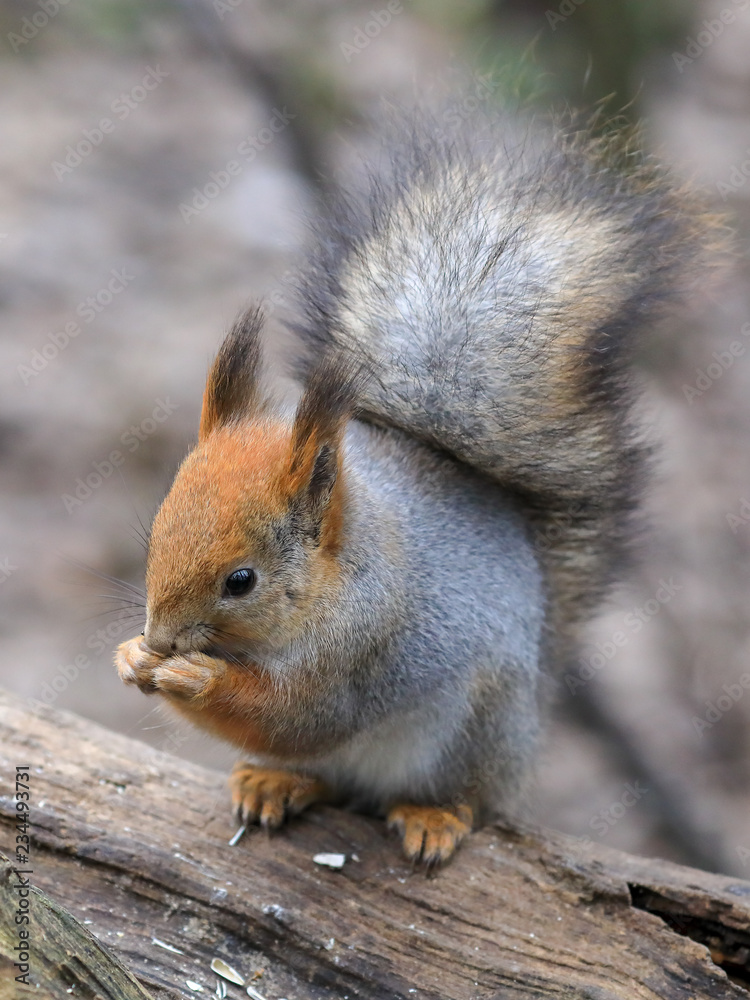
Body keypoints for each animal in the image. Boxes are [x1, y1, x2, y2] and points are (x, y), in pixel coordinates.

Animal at [114, 105, 712, 864]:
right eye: (155, 535)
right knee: (320, 775)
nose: (160, 639)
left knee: (468, 798)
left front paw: (193, 677)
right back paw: (275, 782)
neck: (341, 573)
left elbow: (295, 717)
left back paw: (436, 816)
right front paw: (131, 656)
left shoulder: (366, 645)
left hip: (477, 730)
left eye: (241, 581)